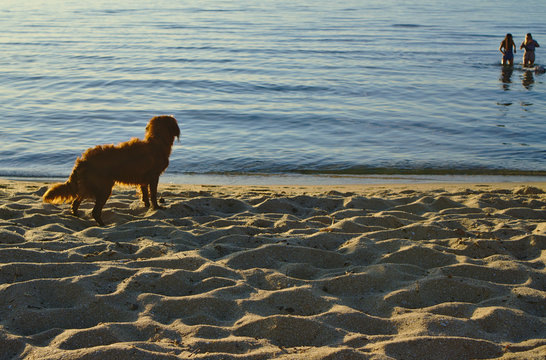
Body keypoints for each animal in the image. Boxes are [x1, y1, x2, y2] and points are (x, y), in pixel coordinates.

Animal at [43, 116, 178, 225]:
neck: (157, 141)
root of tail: (84, 160)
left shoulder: (143, 179)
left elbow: (145, 194)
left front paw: (147, 206)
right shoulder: (154, 177)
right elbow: (153, 194)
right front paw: (157, 207)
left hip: (88, 186)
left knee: (76, 202)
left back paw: (77, 215)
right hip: (104, 188)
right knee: (95, 211)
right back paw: (103, 225)